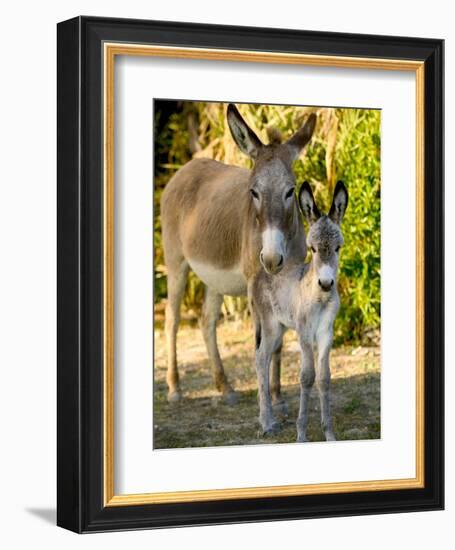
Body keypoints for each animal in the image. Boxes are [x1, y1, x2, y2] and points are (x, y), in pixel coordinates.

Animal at [253, 183, 350, 442]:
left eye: (338, 248)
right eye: (312, 249)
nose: (326, 283)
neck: (320, 298)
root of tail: (262, 270)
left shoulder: (326, 332)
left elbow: (324, 378)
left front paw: (329, 434)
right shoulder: (305, 332)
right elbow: (307, 376)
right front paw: (302, 434)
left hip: (281, 328)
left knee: (266, 357)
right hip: (270, 325)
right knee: (261, 358)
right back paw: (267, 422)